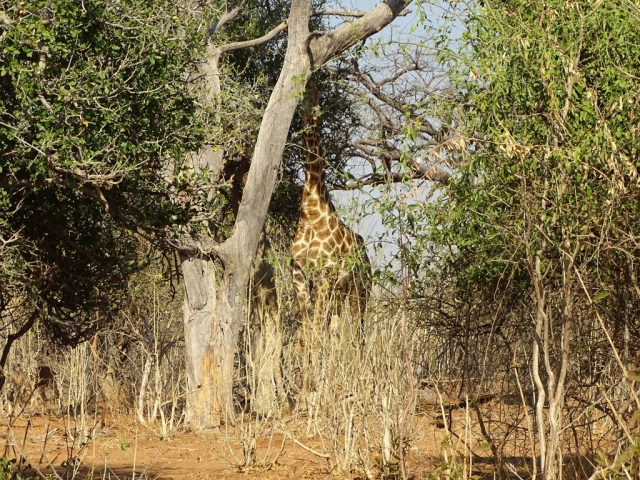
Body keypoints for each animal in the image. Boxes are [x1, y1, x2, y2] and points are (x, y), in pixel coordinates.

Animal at [291, 78, 370, 353]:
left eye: (314, 92)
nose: (308, 112)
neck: (311, 211)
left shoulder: (323, 277)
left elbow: (314, 335)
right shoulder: (300, 277)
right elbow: (305, 336)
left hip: (360, 291)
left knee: (358, 335)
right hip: (340, 294)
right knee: (335, 333)